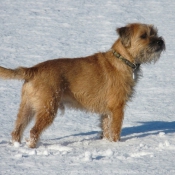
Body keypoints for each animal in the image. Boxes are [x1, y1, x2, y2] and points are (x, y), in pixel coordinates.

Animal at [0, 22, 165, 148]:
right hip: (48, 109)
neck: (122, 59)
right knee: (33, 132)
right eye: (143, 36)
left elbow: (106, 128)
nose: (160, 41)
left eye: (155, 32)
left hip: (27, 108)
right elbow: (115, 129)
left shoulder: (107, 112)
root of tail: (33, 69)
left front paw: (106, 142)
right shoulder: (117, 107)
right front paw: (116, 145)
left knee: (17, 130)